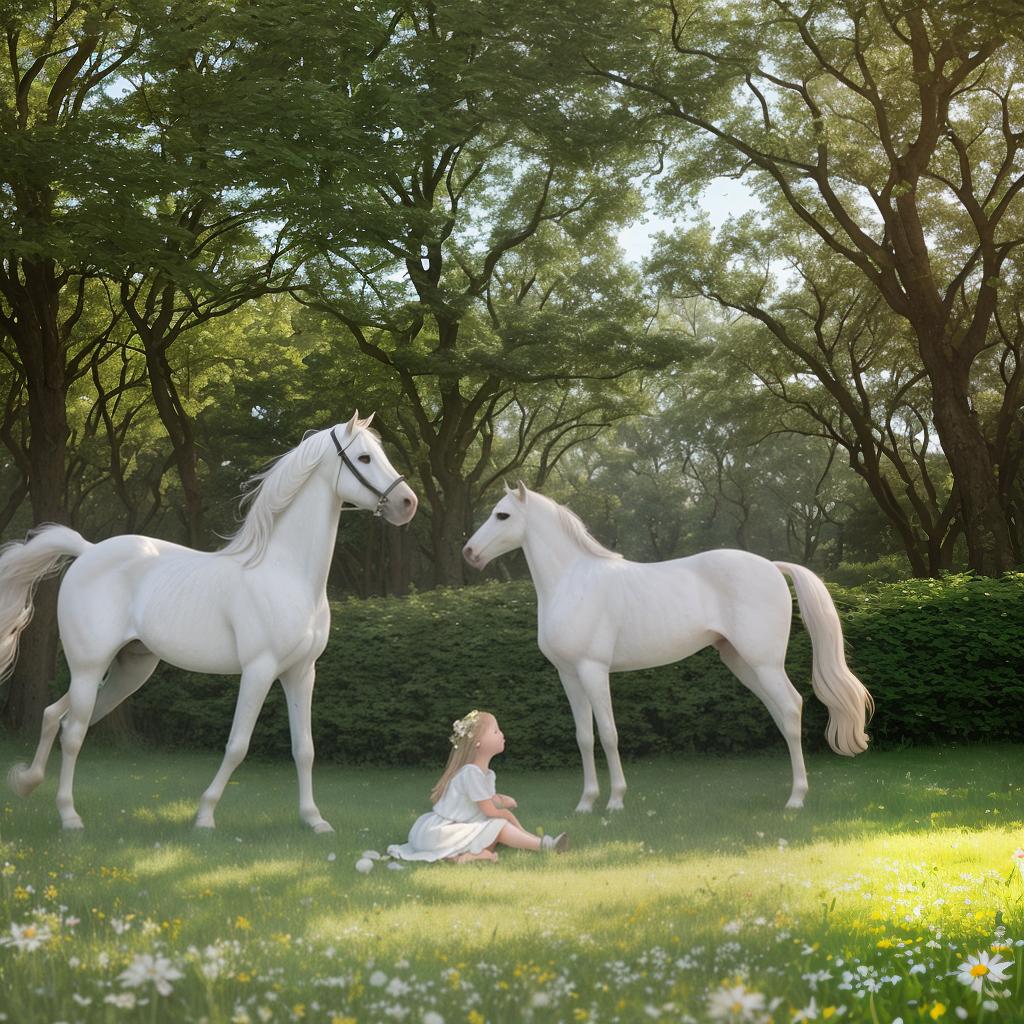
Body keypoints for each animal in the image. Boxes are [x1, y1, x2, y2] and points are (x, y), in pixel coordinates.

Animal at [1, 411, 415, 827]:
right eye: (364, 458)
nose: (407, 503)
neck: (286, 573)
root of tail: (88, 551)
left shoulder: (301, 673)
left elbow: (305, 749)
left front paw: (314, 820)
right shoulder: (259, 670)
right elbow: (237, 746)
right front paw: (204, 815)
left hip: (128, 671)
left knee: (59, 717)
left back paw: (27, 782)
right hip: (89, 667)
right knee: (73, 733)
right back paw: (69, 816)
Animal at [464, 483, 872, 811]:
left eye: (502, 515)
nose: (469, 552)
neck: (572, 582)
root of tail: (772, 566)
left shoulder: (593, 670)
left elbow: (608, 734)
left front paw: (615, 802)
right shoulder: (569, 675)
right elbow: (584, 737)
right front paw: (585, 803)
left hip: (764, 662)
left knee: (790, 707)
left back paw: (796, 798)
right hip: (742, 663)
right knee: (782, 713)